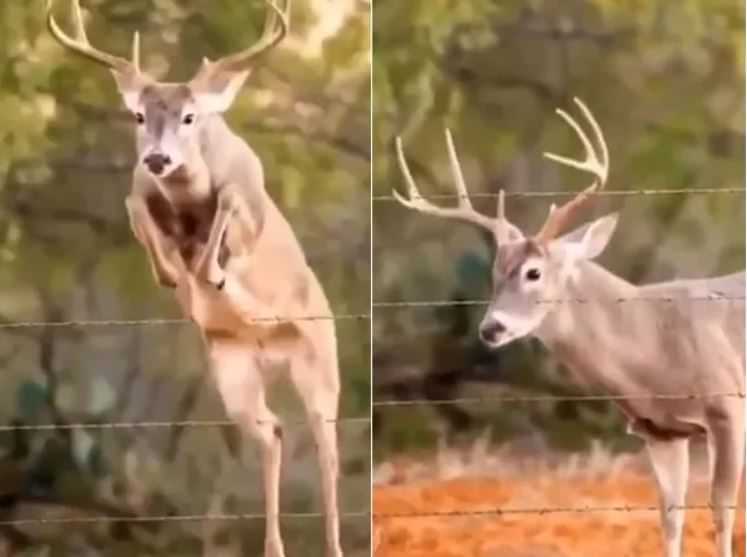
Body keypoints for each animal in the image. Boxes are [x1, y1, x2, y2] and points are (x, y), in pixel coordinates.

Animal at [46, 1, 344, 556]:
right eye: (139, 115)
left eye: (190, 116)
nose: (158, 157)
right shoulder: (144, 197)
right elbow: (136, 207)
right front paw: (178, 276)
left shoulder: (245, 214)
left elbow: (224, 219)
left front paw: (216, 275)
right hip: (234, 369)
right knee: (273, 430)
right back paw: (274, 546)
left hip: (318, 356)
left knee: (325, 444)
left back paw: (332, 544)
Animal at [393, 98, 745, 557]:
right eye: (494, 273)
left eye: (533, 272)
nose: (491, 329)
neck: (654, 344)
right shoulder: (660, 431)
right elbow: (670, 518)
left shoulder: (728, 405)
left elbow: (721, 510)